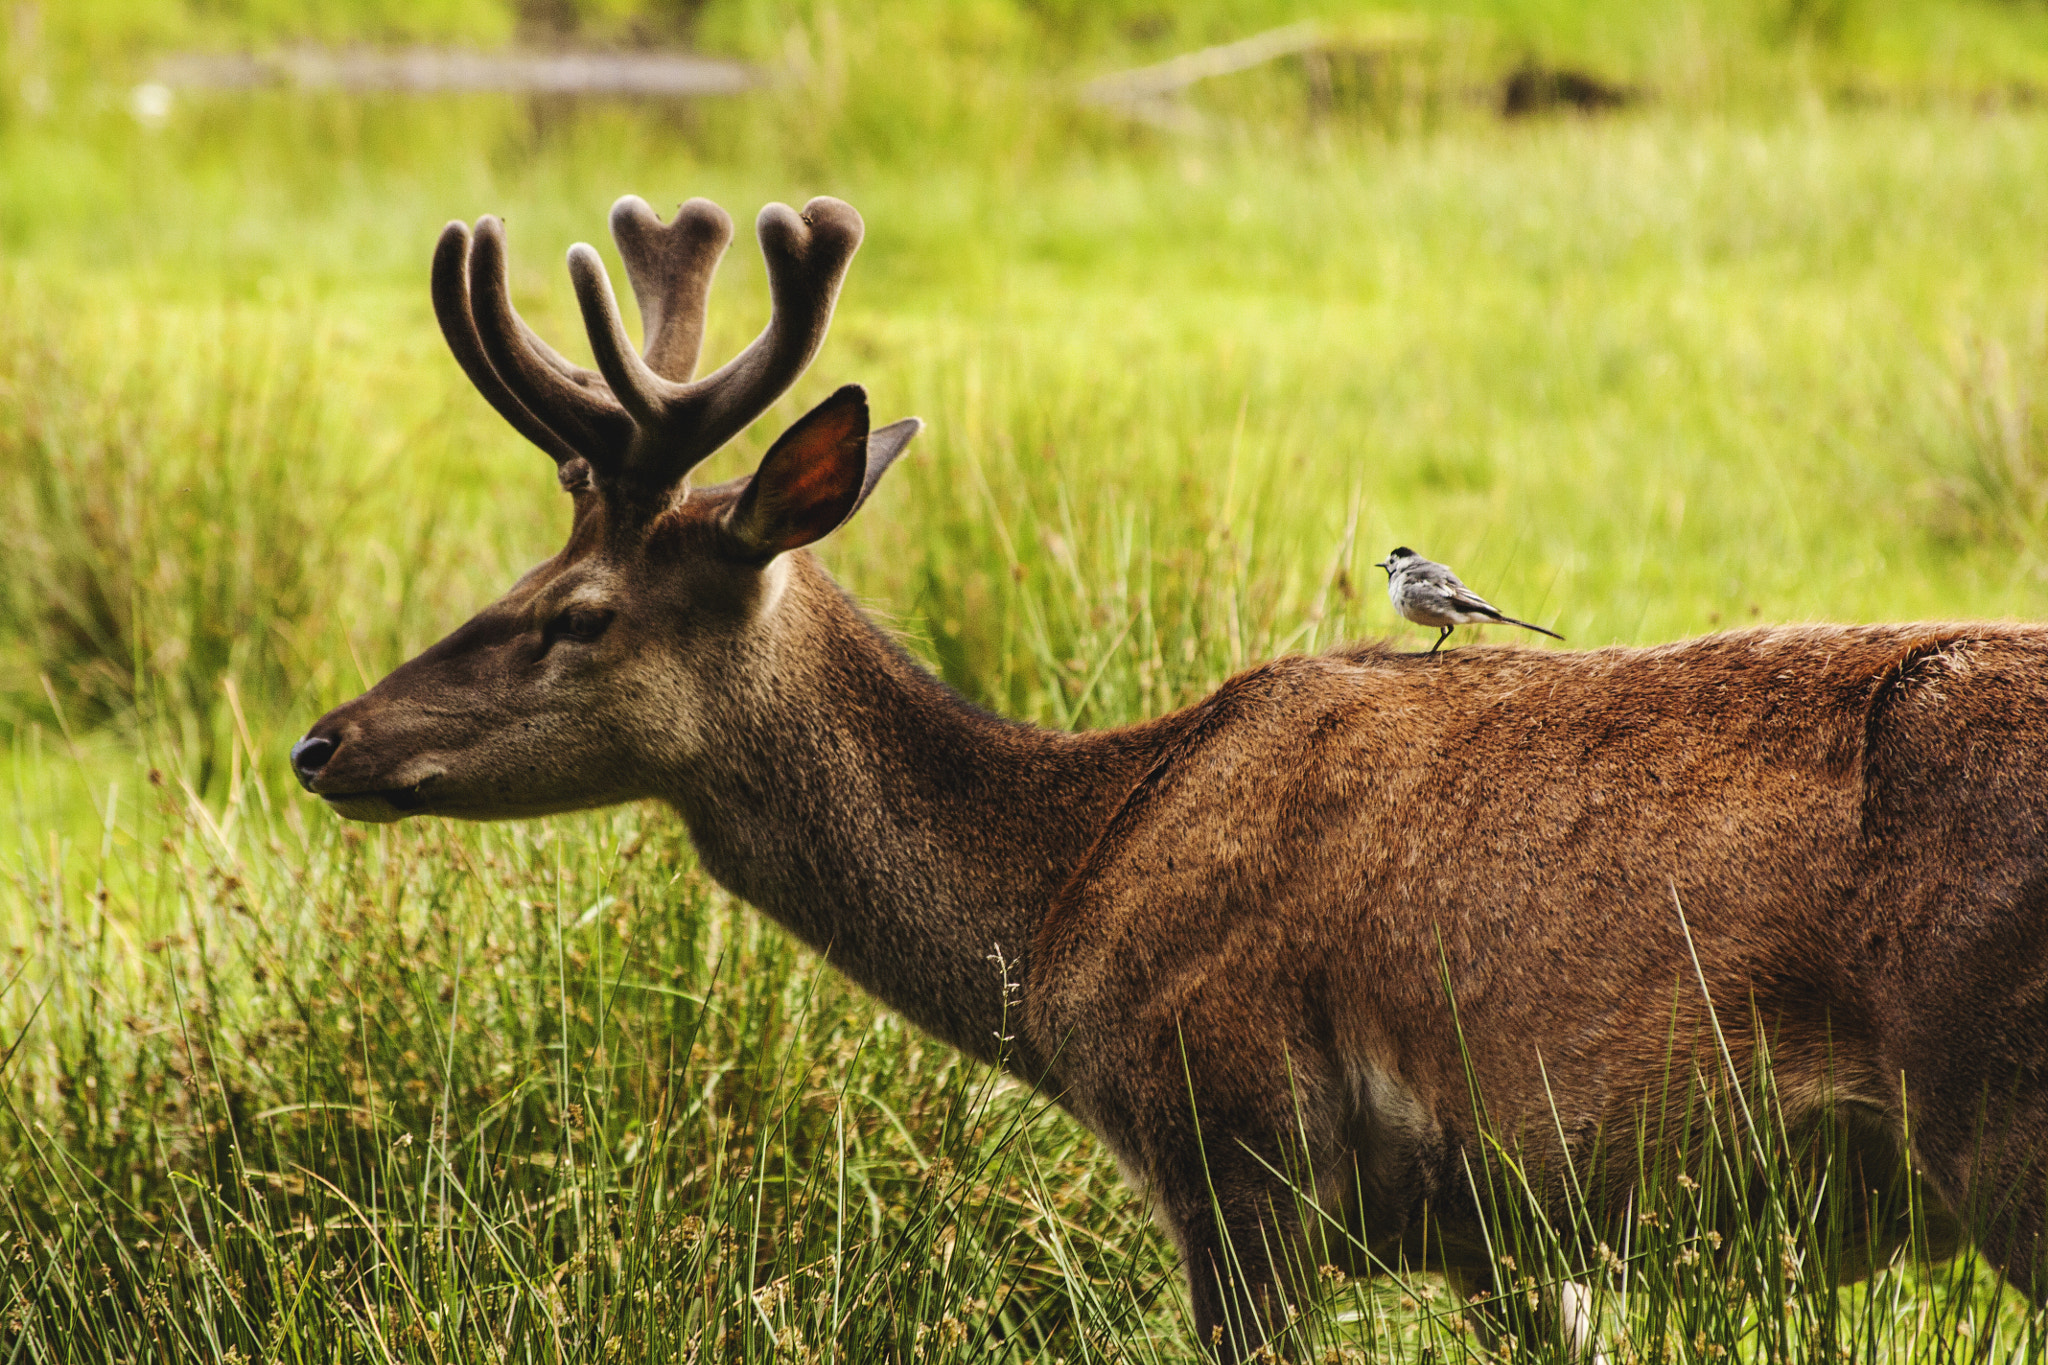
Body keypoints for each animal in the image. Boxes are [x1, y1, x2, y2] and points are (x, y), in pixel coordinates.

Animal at [292, 187, 2048, 1358]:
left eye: (571, 614)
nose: (327, 740)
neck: (1077, 885)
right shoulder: (1516, 1233)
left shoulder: (1234, 1139)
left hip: (2000, 1115)